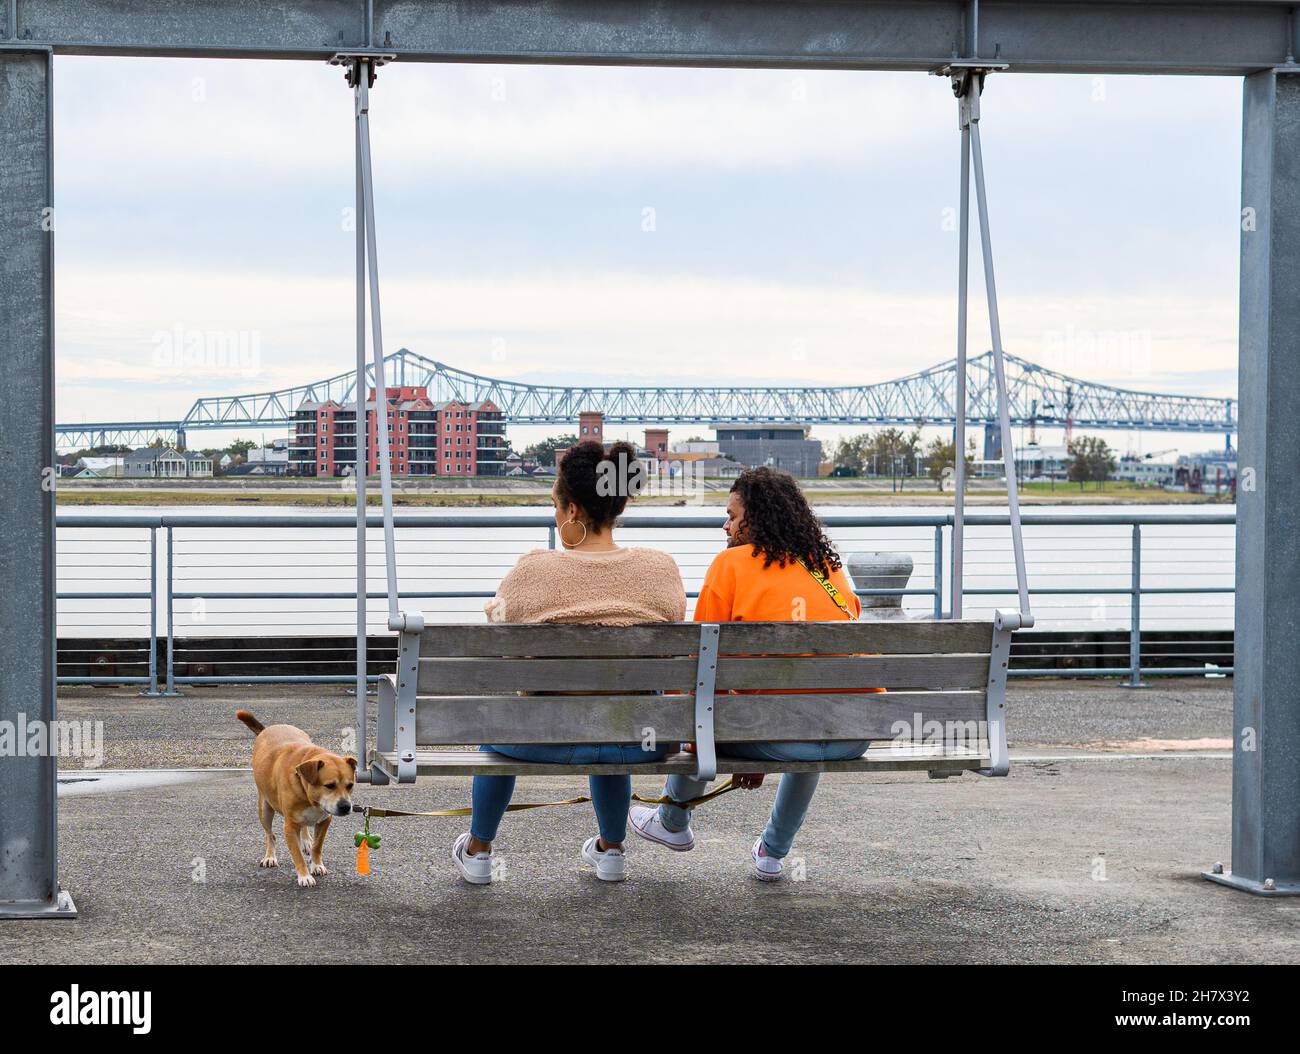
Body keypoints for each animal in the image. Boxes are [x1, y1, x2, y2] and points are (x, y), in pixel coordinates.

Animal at [237, 706, 356, 888]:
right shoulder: (290, 826)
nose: (345, 807)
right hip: (264, 809)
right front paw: (304, 876)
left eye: (350, 785)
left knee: (305, 828)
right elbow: (297, 854)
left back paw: (306, 840)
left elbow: (317, 846)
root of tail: (268, 728)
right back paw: (270, 856)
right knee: (270, 834)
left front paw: (317, 864)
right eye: (330, 785)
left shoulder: (325, 820)